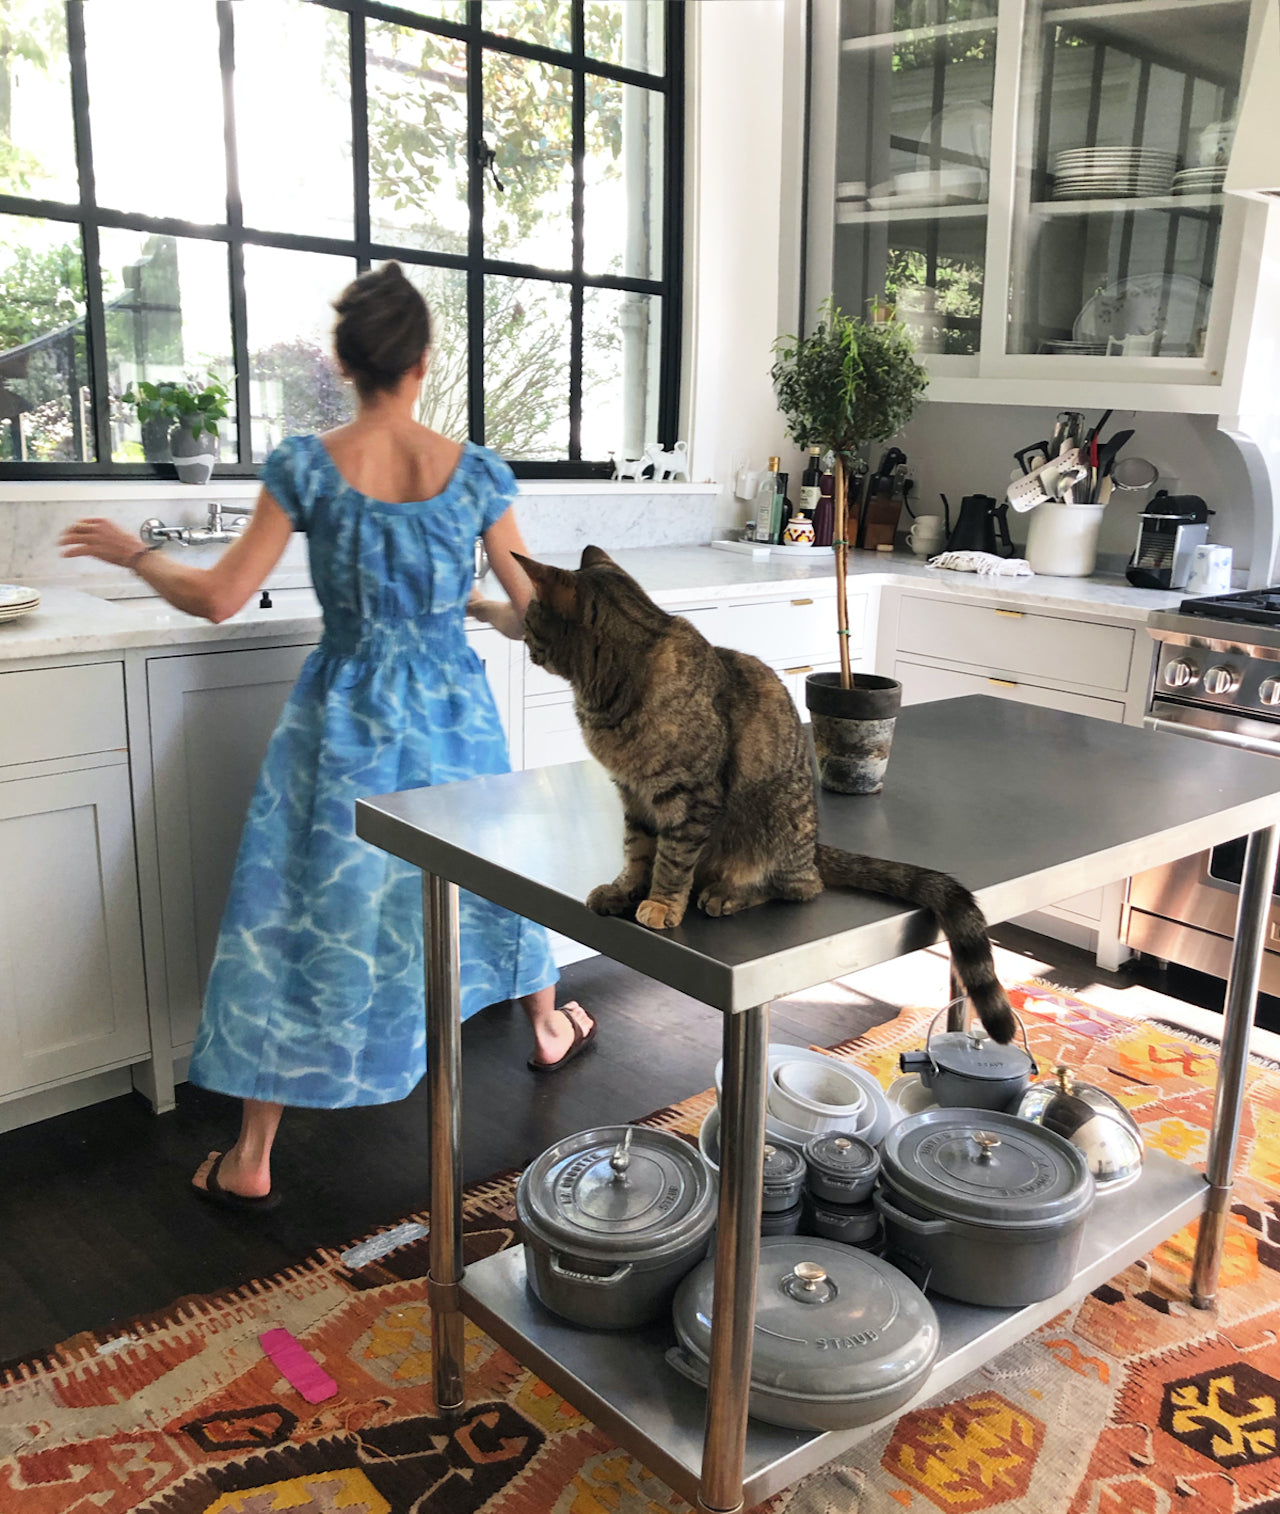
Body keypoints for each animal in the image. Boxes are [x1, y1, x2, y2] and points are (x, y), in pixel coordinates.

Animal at [515, 542, 1011, 1041]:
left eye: (530, 615)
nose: (519, 637)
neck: (608, 687)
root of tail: (813, 849)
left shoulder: (690, 797)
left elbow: (671, 861)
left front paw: (661, 902)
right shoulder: (634, 796)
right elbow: (637, 852)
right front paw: (625, 889)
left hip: (770, 824)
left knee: (801, 888)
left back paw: (728, 894)